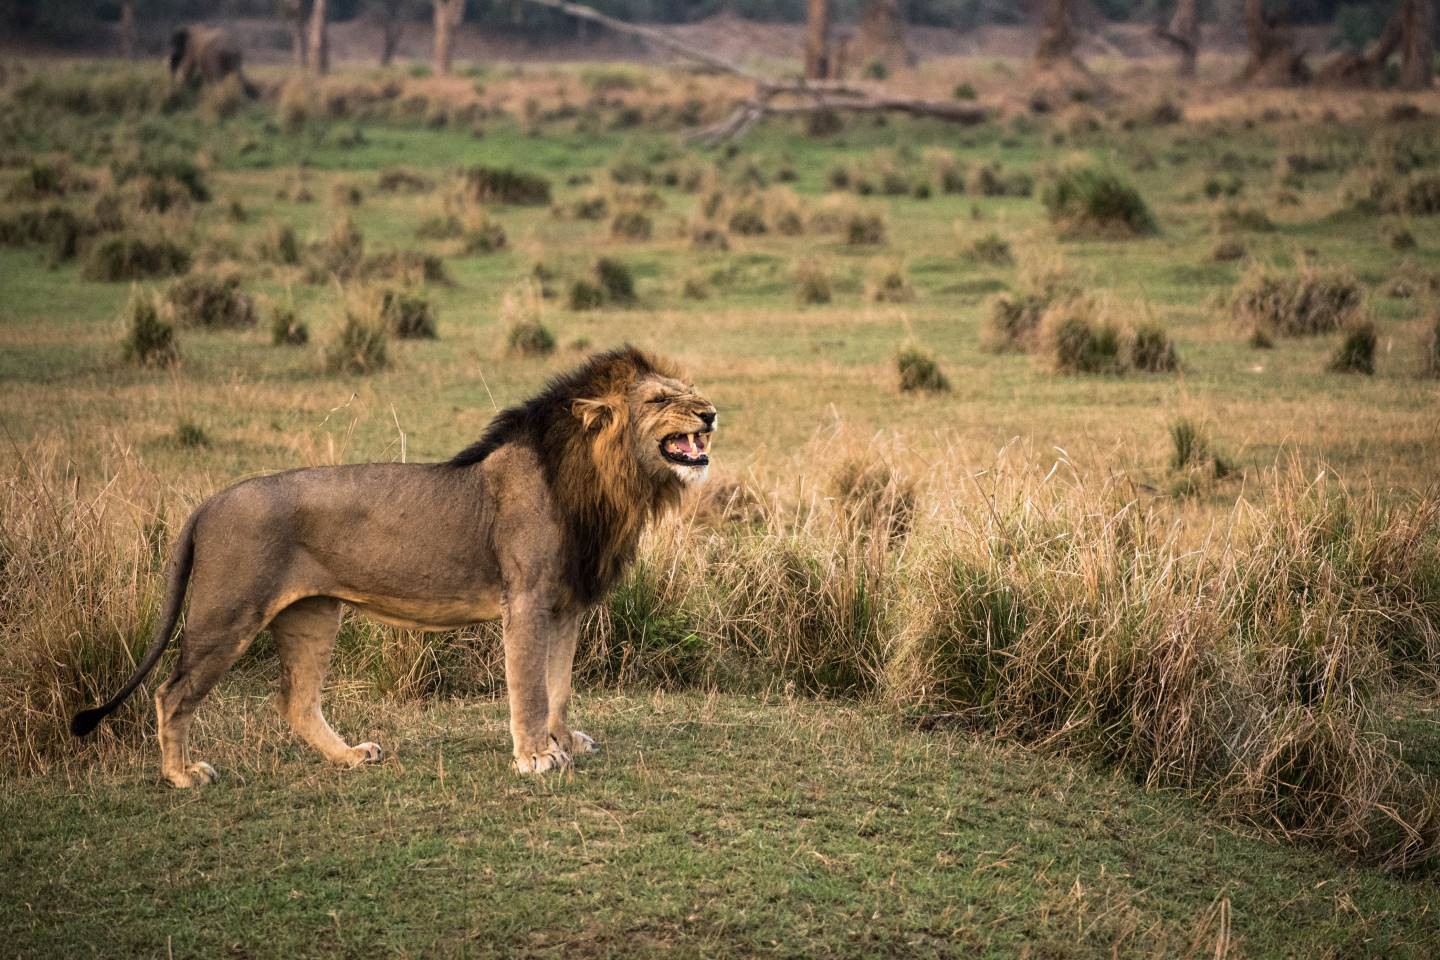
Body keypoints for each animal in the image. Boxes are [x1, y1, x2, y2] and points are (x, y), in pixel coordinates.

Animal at [73, 346, 714, 788]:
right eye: (660, 400)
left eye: (690, 391)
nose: (711, 413)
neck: (606, 482)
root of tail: (208, 503)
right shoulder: (528, 599)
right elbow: (530, 686)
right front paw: (535, 756)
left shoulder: (565, 605)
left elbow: (559, 685)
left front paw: (564, 741)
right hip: (226, 614)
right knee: (171, 692)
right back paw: (183, 775)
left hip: (312, 615)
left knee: (296, 701)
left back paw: (352, 755)